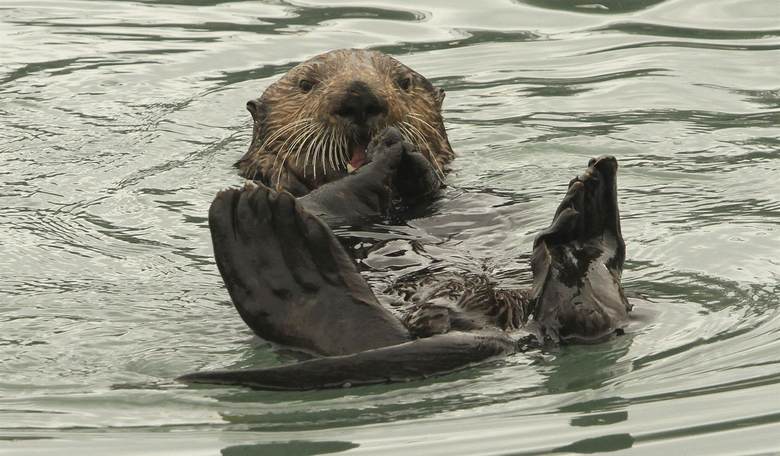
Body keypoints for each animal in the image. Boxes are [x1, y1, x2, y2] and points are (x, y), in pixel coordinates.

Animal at [178, 50, 632, 390]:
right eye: (306, 85)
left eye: (402, 83)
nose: (360, 96)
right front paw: (382, 162)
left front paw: (411, 158)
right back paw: (270, 232)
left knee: (587, 317)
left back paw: (584, 228)